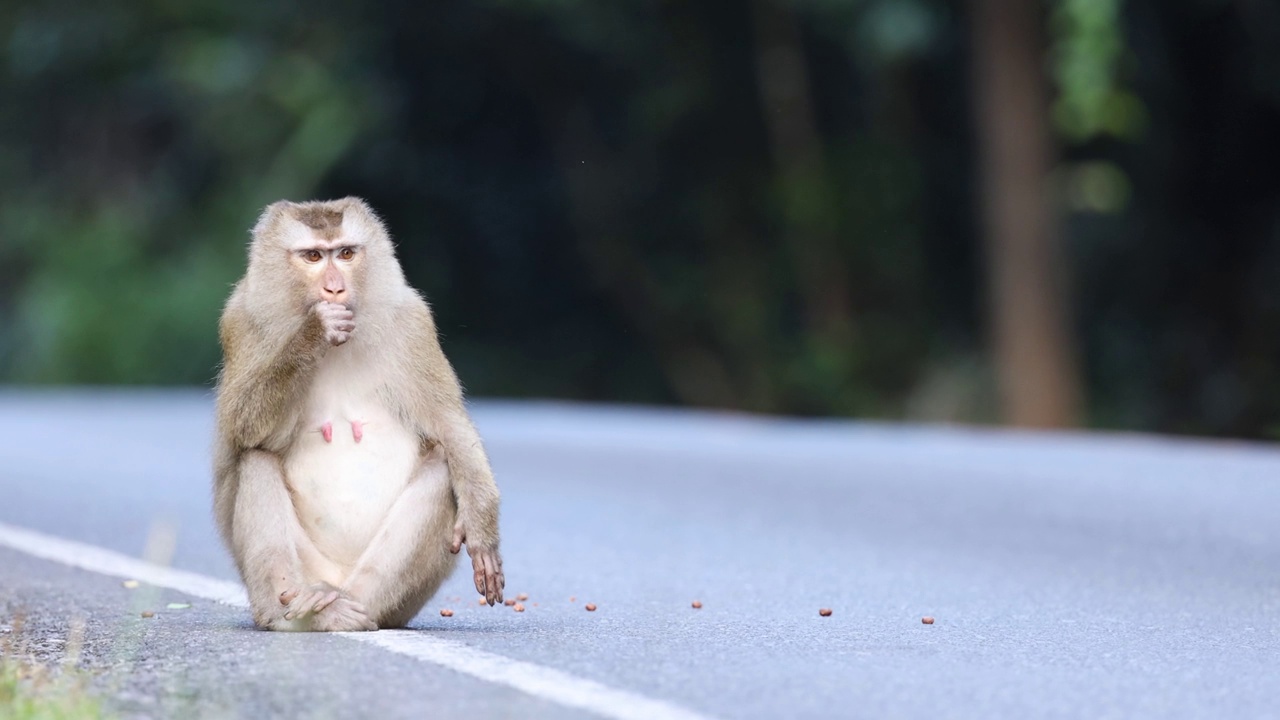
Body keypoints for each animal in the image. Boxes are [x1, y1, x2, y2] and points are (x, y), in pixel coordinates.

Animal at [212, 196, 501, 627]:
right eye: (314, 256)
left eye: (346, 253)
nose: (335, 288)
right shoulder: (242, 320)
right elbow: (243, 428)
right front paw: (314, 331)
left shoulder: (412, 323)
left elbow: (451, 429)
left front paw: (482, 528)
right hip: (297, 573)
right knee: (255, 458)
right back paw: (296, 612)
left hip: (397, 603)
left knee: (442, 466)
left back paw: (351, 611)